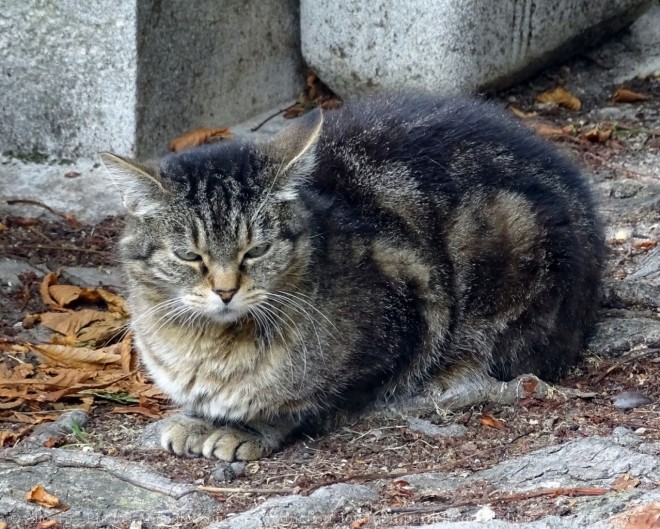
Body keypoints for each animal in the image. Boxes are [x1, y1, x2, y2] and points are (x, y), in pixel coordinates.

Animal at [102, 94, 604, 458]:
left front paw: (244, 428)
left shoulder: (408, 317)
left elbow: (304, 402)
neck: (207, 348)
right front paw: (195, 419)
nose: (225, 291)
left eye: (257, 249)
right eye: (189, 256)